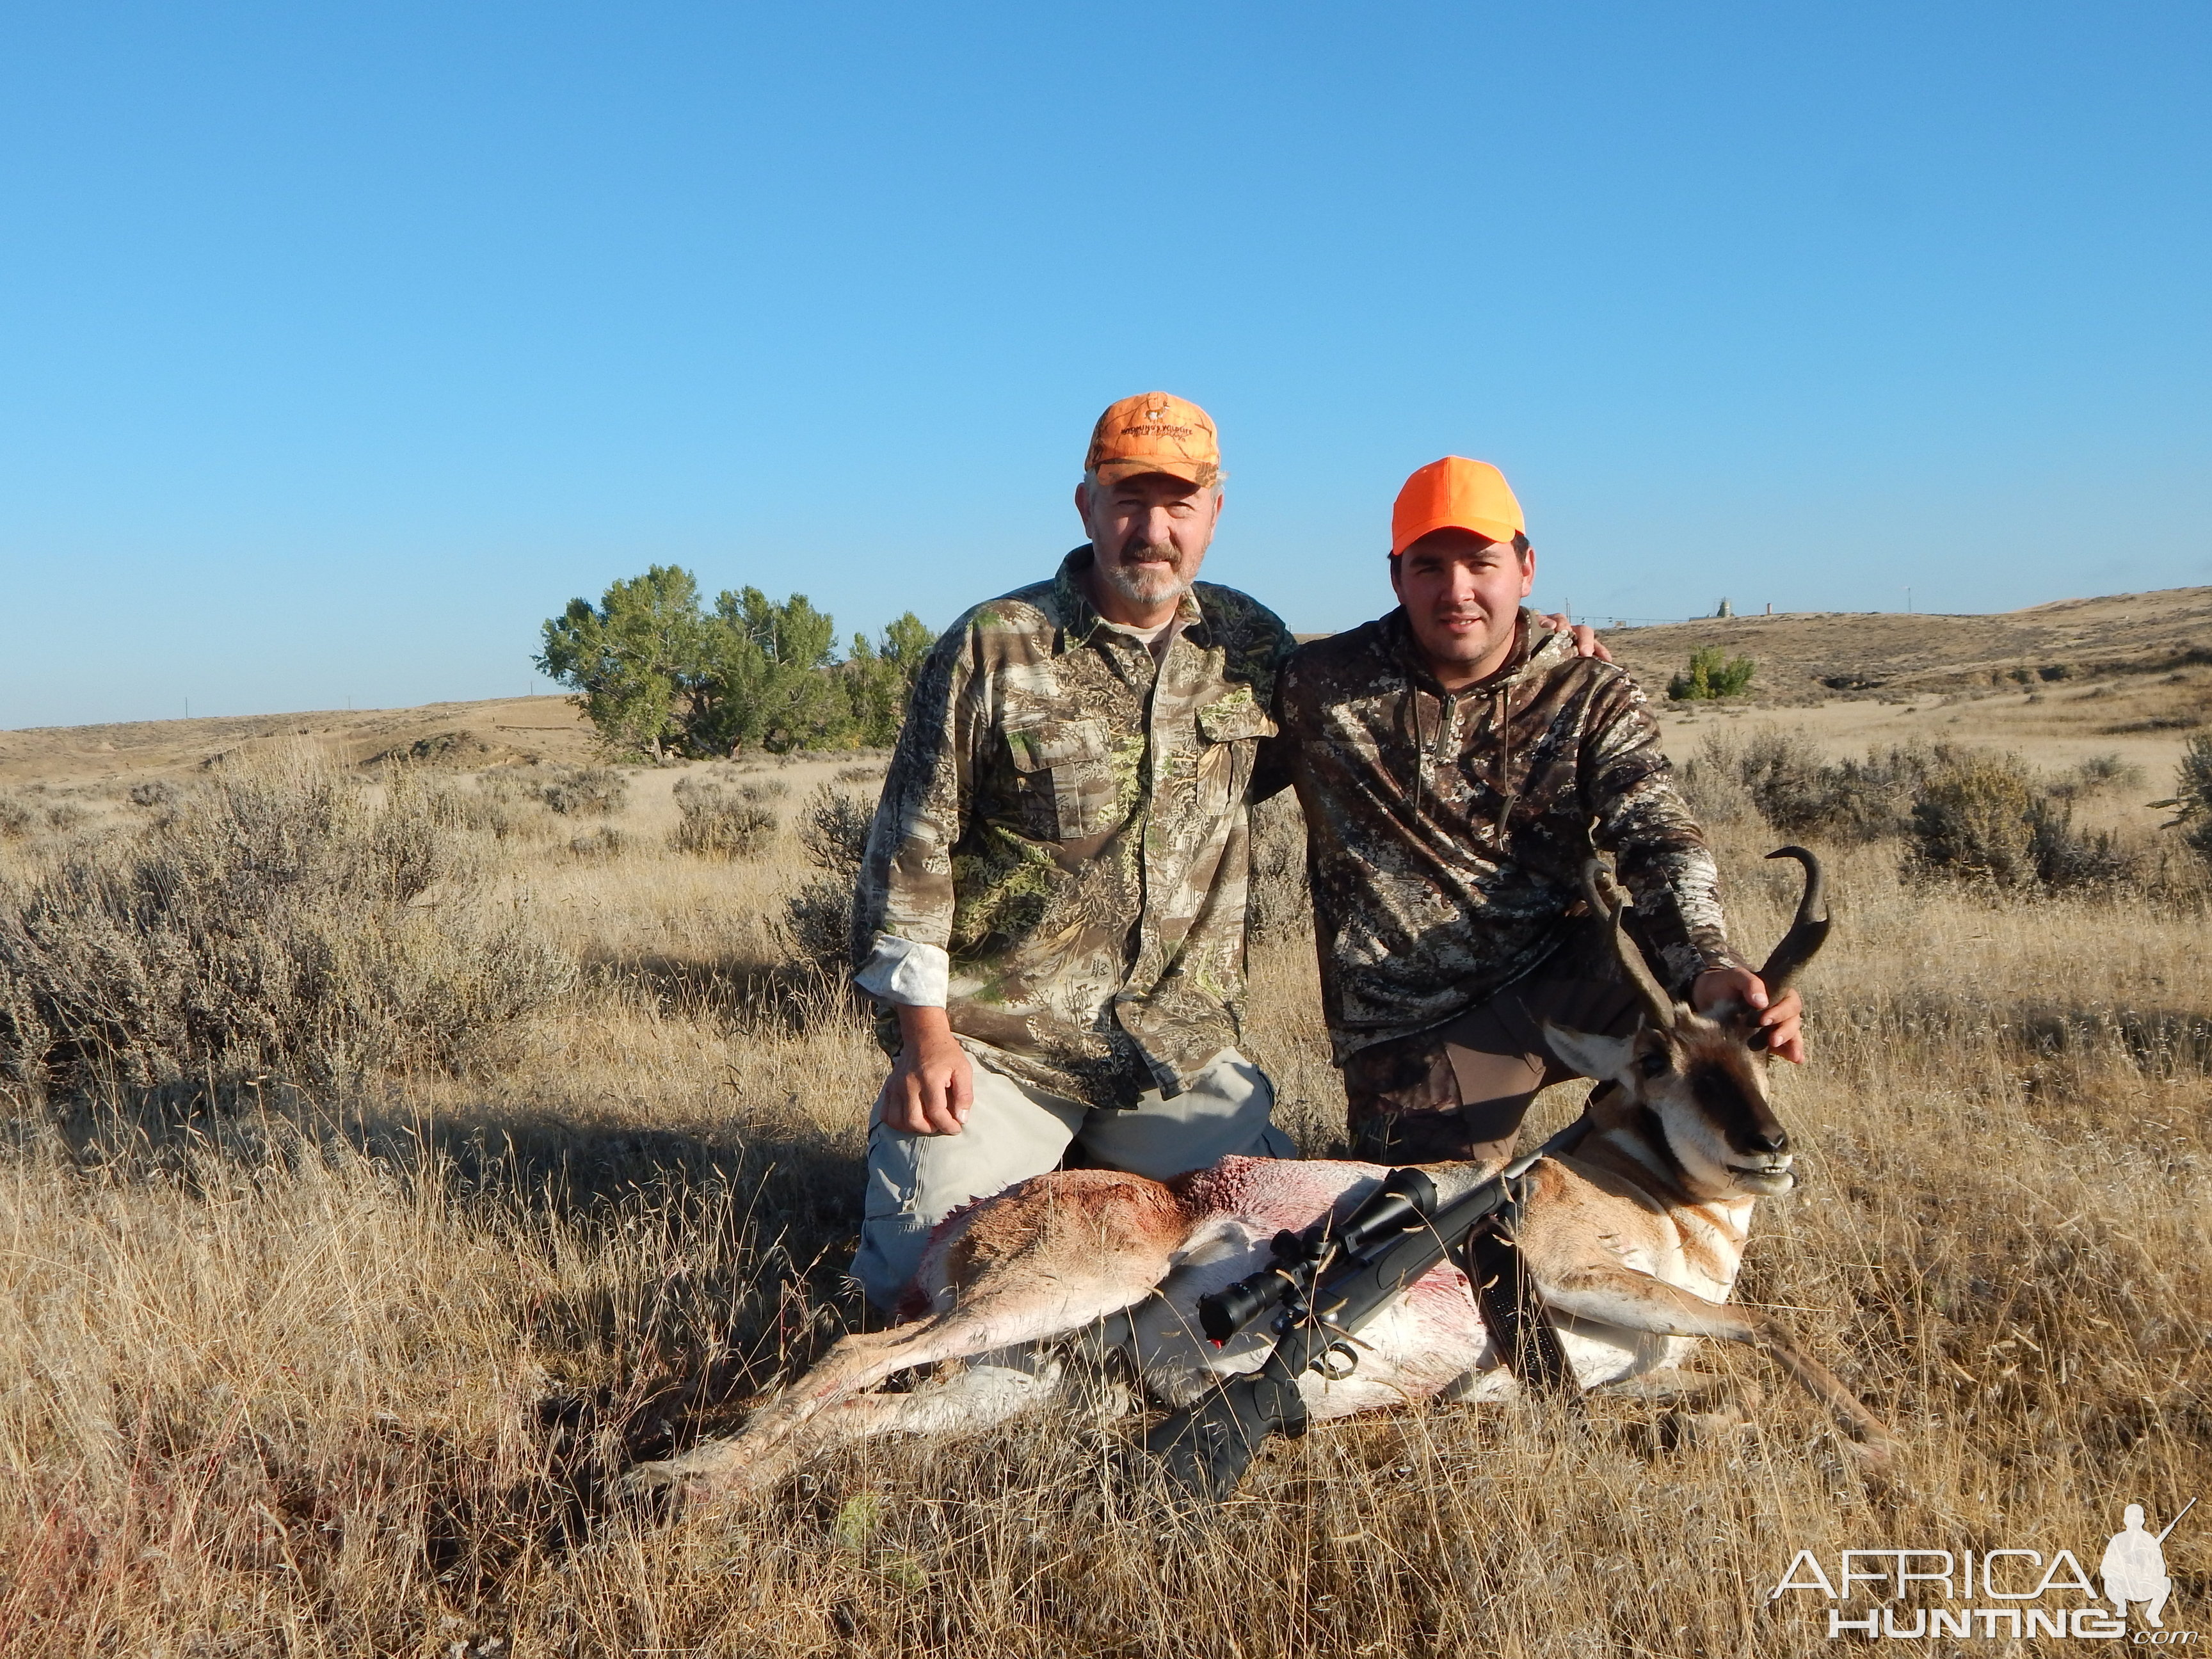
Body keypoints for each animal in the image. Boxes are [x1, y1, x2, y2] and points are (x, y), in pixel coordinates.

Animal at [628, 849, 1902, 1512]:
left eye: (1762, 1046)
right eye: (1655, 1057)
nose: (1768, 1150)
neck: (1642, 1190)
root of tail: (976, 1222)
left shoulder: (1628, 1364)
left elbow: (1721, 1380)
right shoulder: (1571, 1276)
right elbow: (1768, 1328)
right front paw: (1874, 1437)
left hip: (1024, 1385)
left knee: (859, 1416)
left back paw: (707, 1481)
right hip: (1059, 1294)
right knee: (849, 1358)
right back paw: (677, 1479)